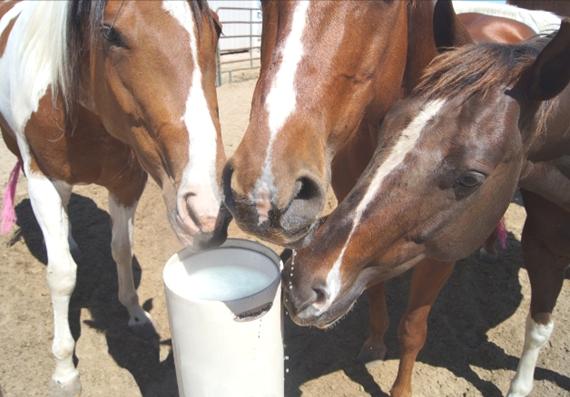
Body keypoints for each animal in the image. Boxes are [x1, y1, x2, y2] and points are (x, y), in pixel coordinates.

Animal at [0, 1, 224, 394]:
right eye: (111, 34)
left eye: (218, 28)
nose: (207, 212)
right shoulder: (42, 180)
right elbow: (61, 275)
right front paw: (64, 370)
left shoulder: (127, 182)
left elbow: (121, 249)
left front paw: (134, 313)